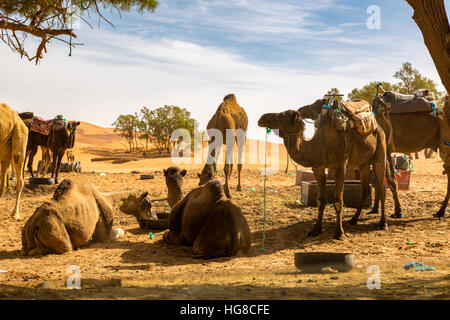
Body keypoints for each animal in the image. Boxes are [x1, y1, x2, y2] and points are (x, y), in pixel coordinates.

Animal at [21, 179, 155, 256]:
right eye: (148, 204)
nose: (152, 217)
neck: (109, 199)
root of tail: (34, 226)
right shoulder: (104, 234)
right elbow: (120, 231)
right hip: (54, 228)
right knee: (64, 247)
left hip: (26, 231)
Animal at [258, 105, 388, 240]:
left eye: (281, 116)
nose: (262, 118)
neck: (319, 147)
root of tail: (378, 127)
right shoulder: (318, 169)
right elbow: (320, 200)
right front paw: (315, 230)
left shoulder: (340, 167)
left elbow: (338, 200)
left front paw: (339, 233)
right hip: (364, 163)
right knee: (365, 189)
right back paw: (353, 220)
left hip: (380, 151)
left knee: (382, 187)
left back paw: (383, 223)